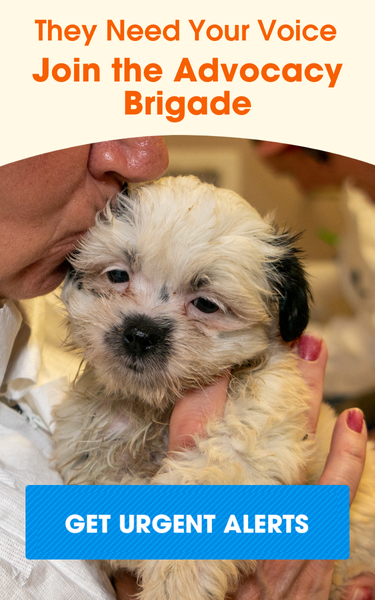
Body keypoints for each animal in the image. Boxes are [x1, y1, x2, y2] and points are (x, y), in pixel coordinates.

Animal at [53, 176, 375, 600]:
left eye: (206, 304)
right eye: (117, 275)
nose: (140, 333)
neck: (158, 408)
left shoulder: (253, 434)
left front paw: (175, 581)